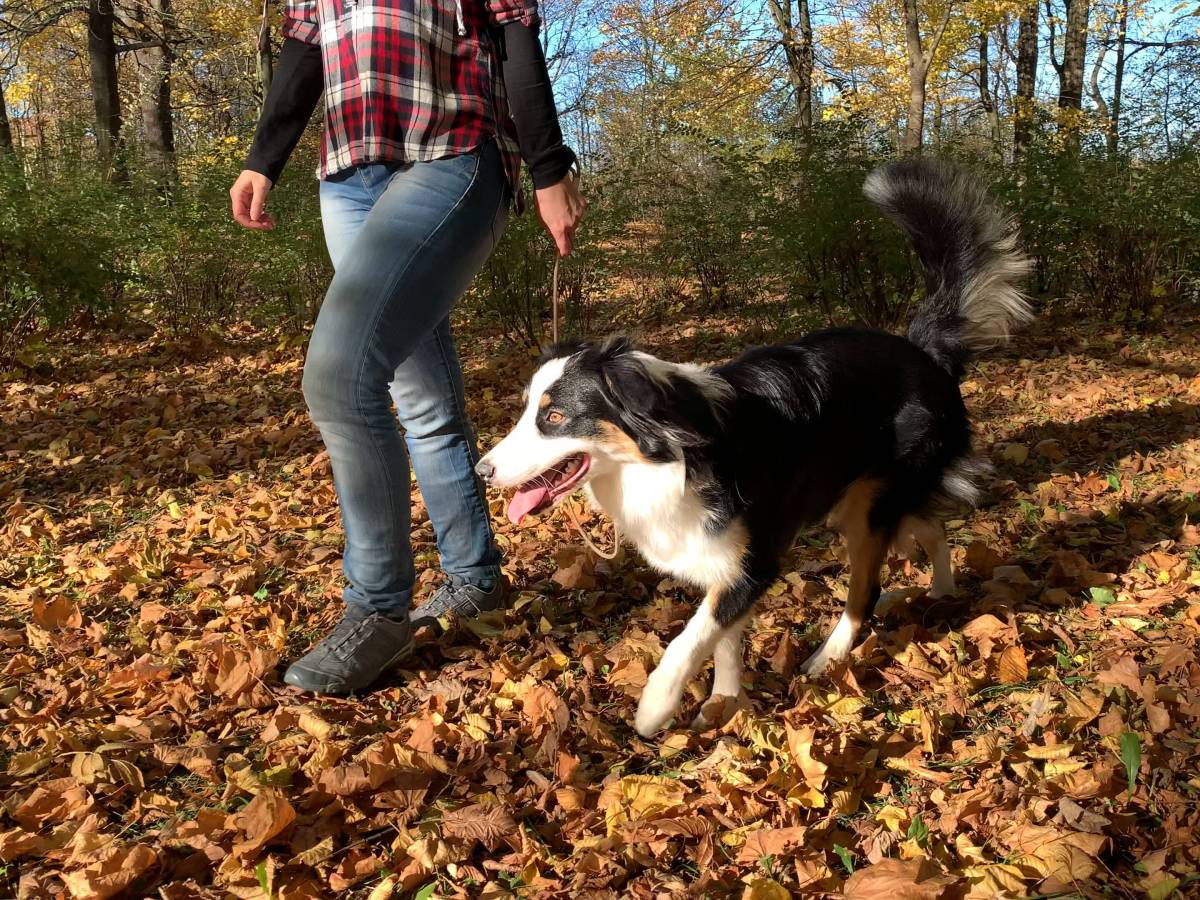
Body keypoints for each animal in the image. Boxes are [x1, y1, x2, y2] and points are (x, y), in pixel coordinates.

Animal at [475, 160, 1032, 739]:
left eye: (554, 418)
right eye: (526, 411)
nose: (482, 470)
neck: (673, 453)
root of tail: (924, 351)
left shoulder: (755, 558)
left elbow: (693, 634)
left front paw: (656, 705)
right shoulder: (722, 558)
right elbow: (723, 640)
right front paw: (725, 701)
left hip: (872, 506)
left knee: (866, 589)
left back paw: (829, 656)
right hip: (862, 498)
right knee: (932, 526)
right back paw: (943, 591)